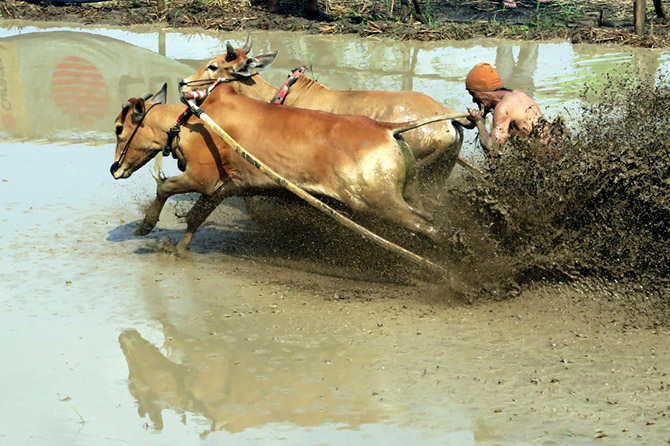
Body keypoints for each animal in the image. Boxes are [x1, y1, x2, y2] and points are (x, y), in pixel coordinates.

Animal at [111, 82, 462, 253]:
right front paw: (176, 250)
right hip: (406, 194)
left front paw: (146, 226)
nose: (114, 168)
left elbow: (164, 187)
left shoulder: (202, 178)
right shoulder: (224, 187)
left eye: (118, 128)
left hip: (378, 202)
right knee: (431, 218)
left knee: (432, 228)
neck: (188, 120)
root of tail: (386, 128)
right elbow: (196, 218)